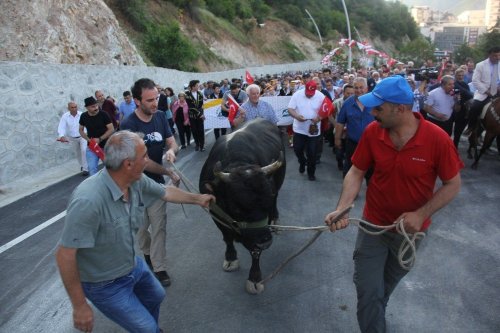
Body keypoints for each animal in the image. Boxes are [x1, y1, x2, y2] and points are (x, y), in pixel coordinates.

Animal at [198, 119, 286, 294]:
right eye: (237, 208)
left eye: (266, 203)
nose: (265, 242)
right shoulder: (216, 214)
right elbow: (227, 238)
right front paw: (231, 258)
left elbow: (255, 252)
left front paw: (255, 278)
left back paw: (276, 221)